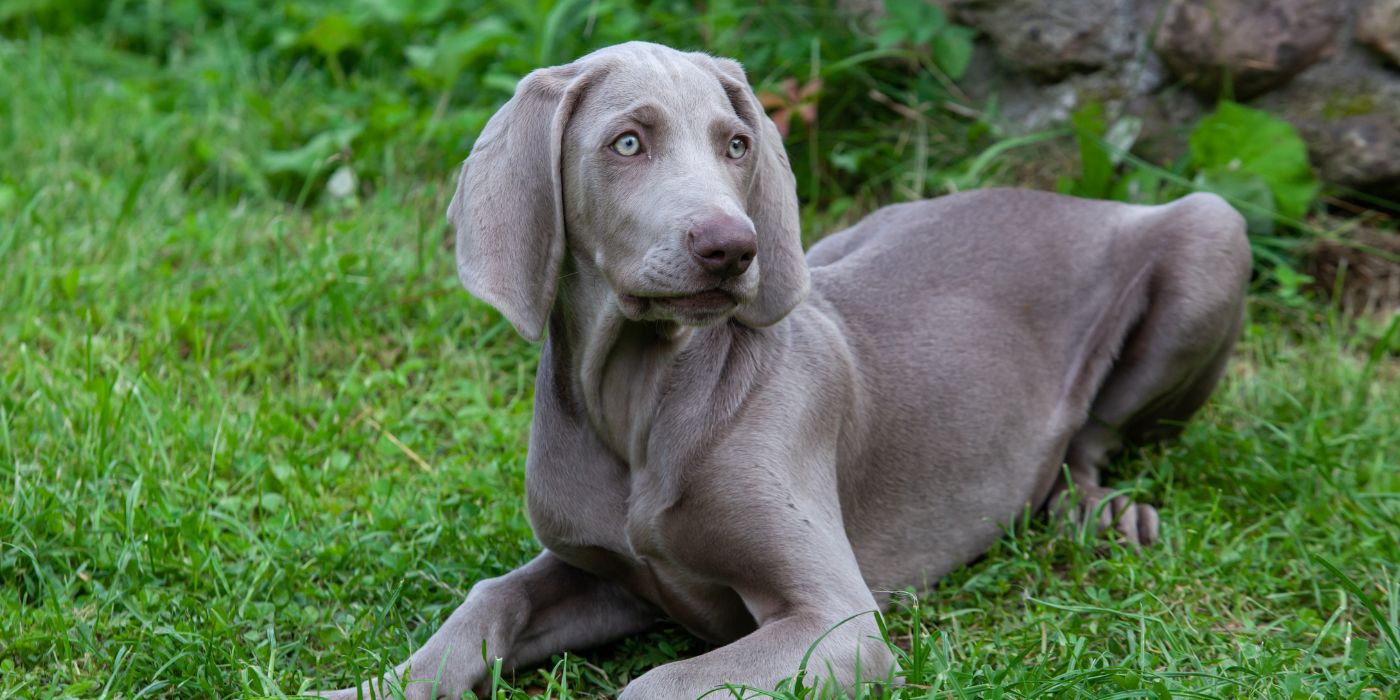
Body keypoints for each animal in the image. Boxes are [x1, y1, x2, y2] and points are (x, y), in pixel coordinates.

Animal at [320, 40, 1260, 697]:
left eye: (737, 144)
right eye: (626, 142)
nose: (732, 247)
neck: (642, 398)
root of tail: (1072, 197)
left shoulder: (837, 622)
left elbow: (655, 684)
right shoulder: (613, 576)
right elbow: (490, 599)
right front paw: (370, 687)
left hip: (1214, 229)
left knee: (1090, 440)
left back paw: (1105, 514)